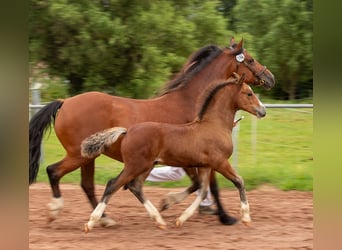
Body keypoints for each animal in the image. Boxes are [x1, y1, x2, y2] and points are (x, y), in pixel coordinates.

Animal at [81, 72, 268, 230]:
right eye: (249, 93)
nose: (263, 111)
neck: (215, 125)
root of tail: (127, 131)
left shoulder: (205, 166)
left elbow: (202, 191)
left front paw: (180, 218)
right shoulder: (220, 162)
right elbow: (239, 181)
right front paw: (246, 218)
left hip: (146, 166)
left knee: (135, 186)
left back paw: (159, 220)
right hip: (135, 166)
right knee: (113, 185)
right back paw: (92, 222)